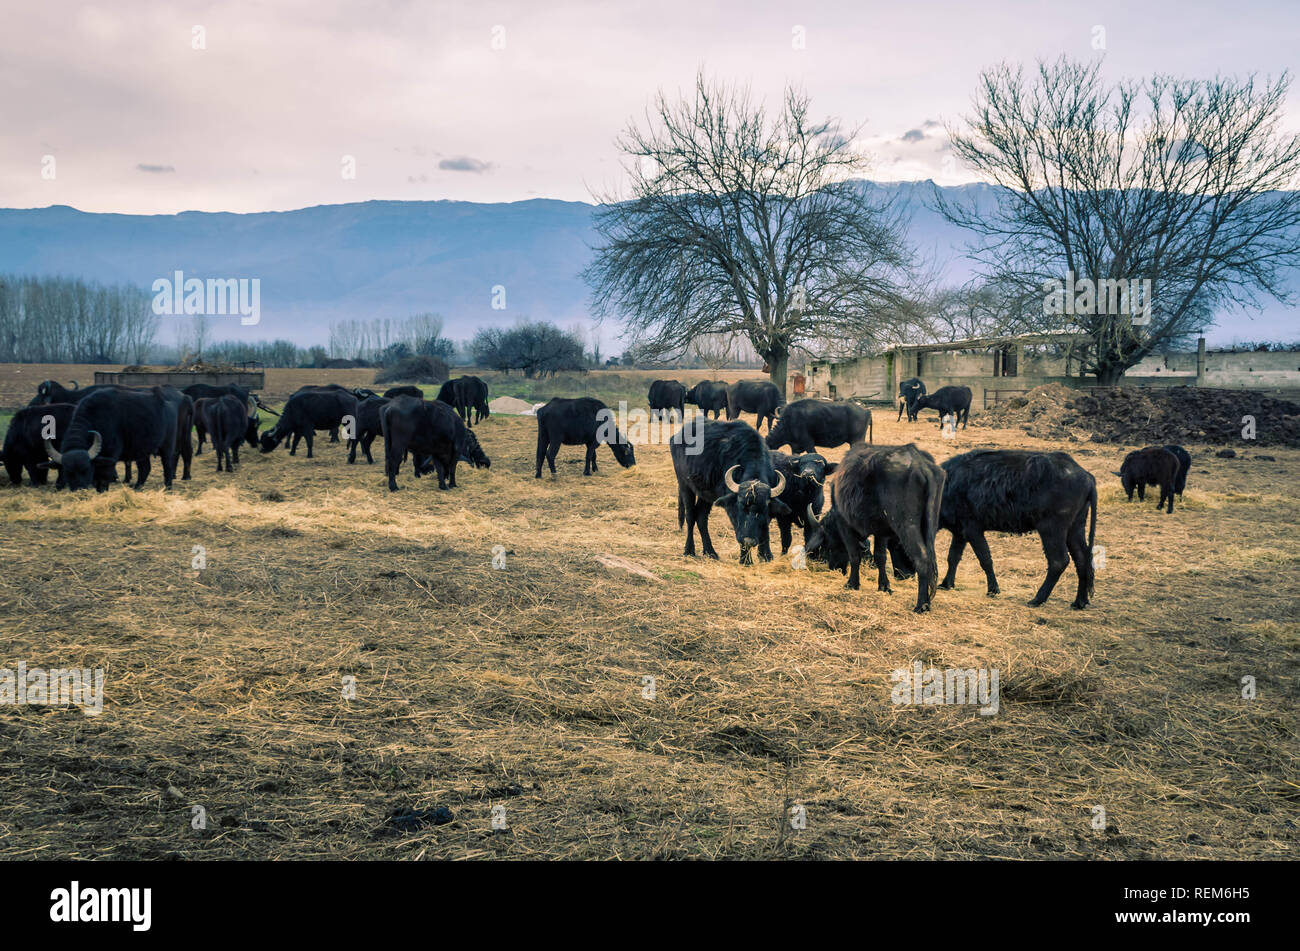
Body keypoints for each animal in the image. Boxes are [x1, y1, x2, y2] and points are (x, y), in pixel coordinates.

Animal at [46, 387, 180, 491]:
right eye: (68, 472)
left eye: (86, 469)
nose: (79, 489)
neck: (96, 419)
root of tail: (167, 403)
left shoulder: (109, 458)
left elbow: (103, 479)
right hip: (142, 450)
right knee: (145, 468)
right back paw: (137, 487)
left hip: (167, 447)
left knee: (167, 467)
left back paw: (168, 488)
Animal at [676, 418, 785, 563]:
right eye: (740, 506)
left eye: (763, 508)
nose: (749, 541)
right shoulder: (731, 508)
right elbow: (738, 528)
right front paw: (745, 560)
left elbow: (765, 528)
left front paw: (766, 555)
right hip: (684, 484)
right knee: (690, 516)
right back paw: (689, 550)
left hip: (706, 494)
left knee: (701, 517)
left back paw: (710, 552)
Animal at [800, 444, 946, 613]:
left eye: (825, 545)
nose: (834, 568)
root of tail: (921, 464)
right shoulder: (881, 532)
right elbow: (880, 557)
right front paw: (884, 586)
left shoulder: (844, 523)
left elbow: (854, 555)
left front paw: (852, 583)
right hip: (930, 526)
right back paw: (927, 602)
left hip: (906, 525)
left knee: (922, 558)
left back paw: (920, 605)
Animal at [935, 446, 1097, 608]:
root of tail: (1087, 477)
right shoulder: (959, 532)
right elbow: (953, 557)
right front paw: (946, 584)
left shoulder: (973, 530)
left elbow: (985, 559)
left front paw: (993, 589)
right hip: (1075, 527)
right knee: (1082, 559)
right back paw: (1080, 601)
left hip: (1051, 529)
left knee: (1059, 561)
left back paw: (1037, 599)